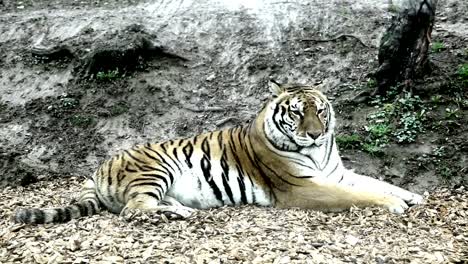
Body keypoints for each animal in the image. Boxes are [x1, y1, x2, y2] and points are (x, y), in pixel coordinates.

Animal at [13, 80, 424, 225]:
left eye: (320, 111)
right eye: (296, 112)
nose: (315, 133)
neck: (319, 153)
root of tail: (98, 168)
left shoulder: (337, 173)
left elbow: (377, 181)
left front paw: (414, 196)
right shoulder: (304, 188)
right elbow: (363, 195)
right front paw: (393, 205)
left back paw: (180, 210)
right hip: (155, 168)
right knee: (133, 210)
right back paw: (174, 214)